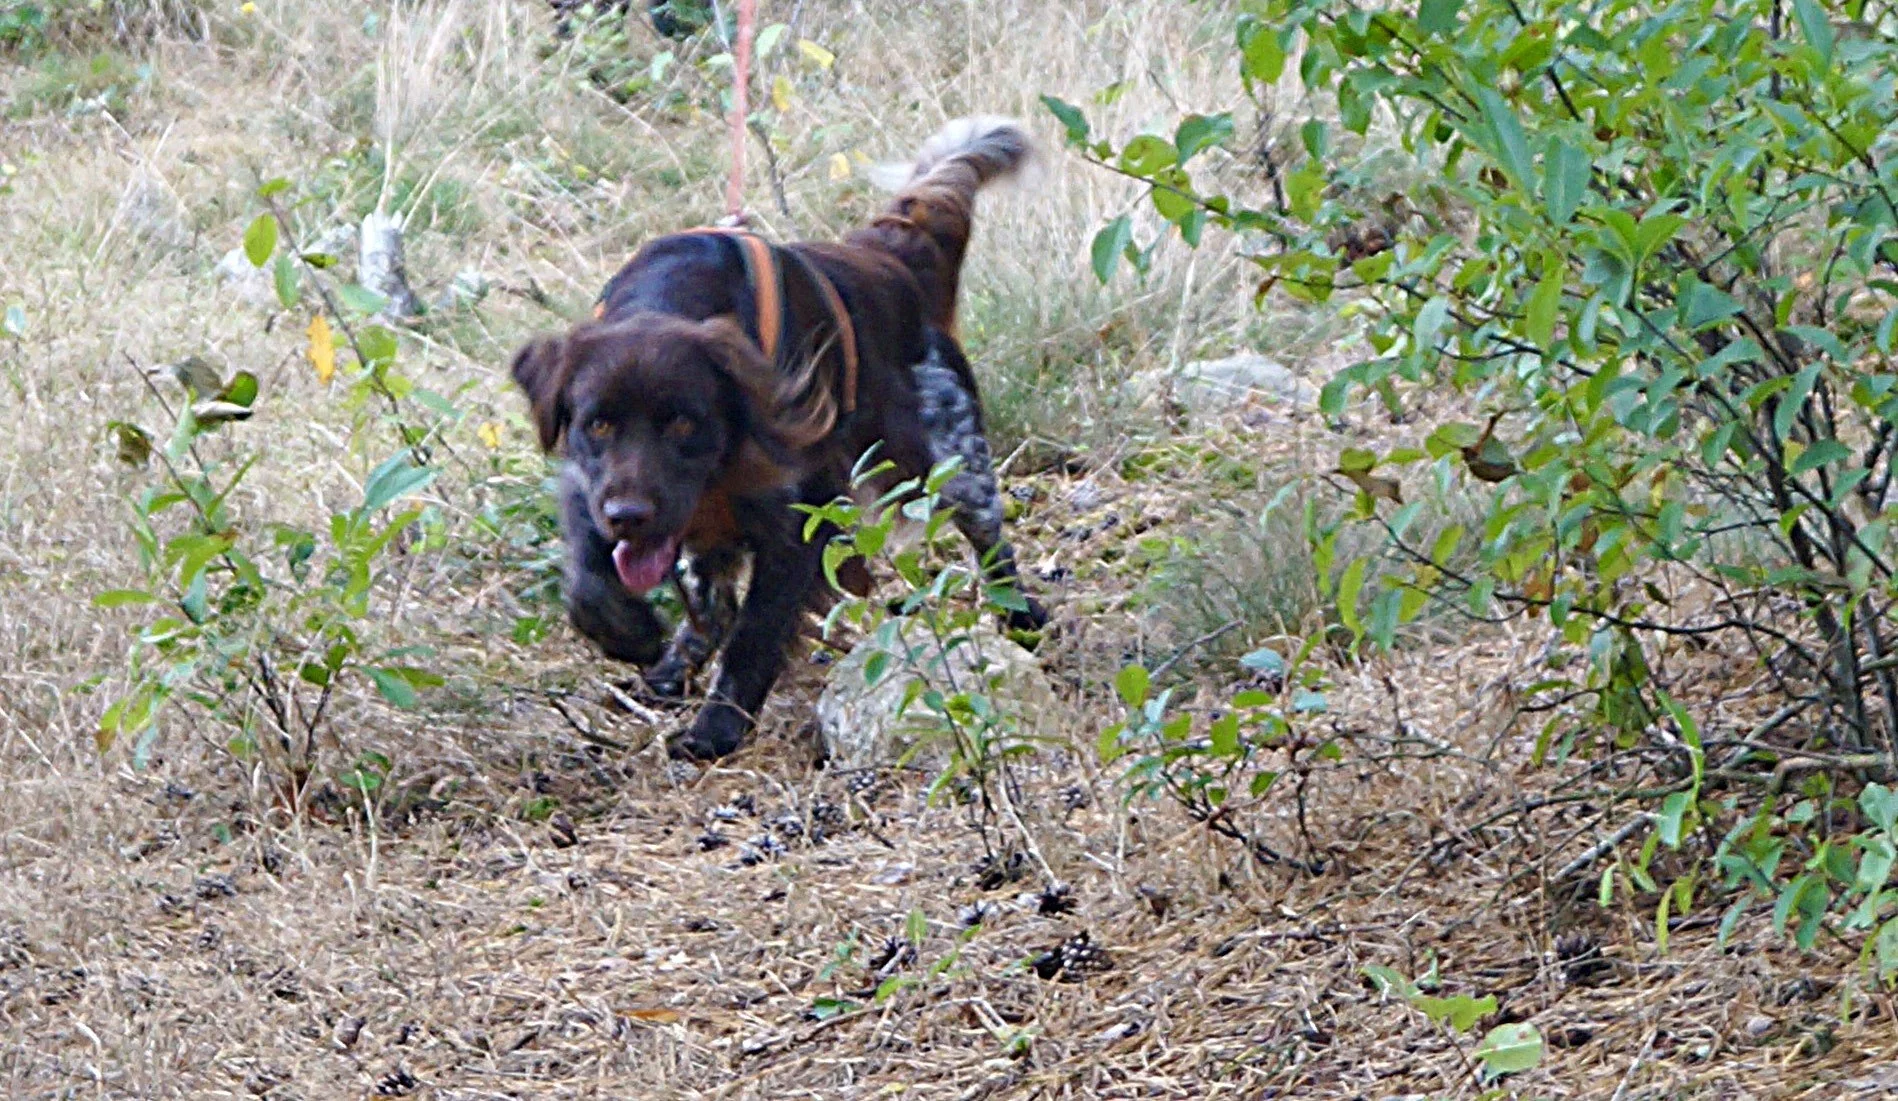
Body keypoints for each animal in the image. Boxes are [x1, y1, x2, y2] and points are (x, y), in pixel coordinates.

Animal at [510, 117, 1048, 761]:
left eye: (684, 422)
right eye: (597, 423)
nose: (630, 516)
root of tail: (890, 260)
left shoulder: (800, 519)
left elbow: (756, 634)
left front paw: (716, 729)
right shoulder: (591, 483)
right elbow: (592, 575)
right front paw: (630, 631)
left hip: (951, 459)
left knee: (991, 542)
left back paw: (1022, 619)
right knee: (711, 602)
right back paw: (671, 667)